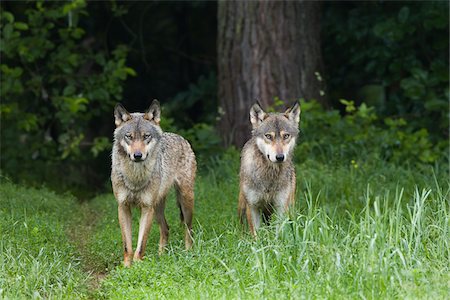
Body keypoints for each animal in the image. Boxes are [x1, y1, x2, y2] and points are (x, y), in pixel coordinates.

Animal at [110, 101, 195, 268]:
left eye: (146, 136)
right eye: (129, 136)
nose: (137, 155)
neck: (135, 178)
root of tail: (181, 138)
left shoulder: (146, 208)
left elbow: (141, 244)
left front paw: (137, 266)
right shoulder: (123, 207)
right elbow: (127, 245)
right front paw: (127, 267)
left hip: (185, 200)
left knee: (188, 229)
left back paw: (188, 254)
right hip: (157, 208)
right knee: (166, 229)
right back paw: (161, 257)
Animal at [237, 101, 300, 237]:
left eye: (286, 136)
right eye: (268, 136)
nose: (280, 157)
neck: (269, 175)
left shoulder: (280, 206)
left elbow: (278, 234)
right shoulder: (253, 207)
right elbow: (256, 235)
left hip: (290, 206)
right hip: (242, 207)